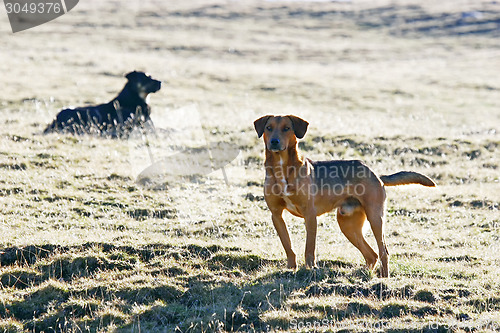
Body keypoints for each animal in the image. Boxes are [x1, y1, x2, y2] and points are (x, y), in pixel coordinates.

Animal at [254, 115, 434, 276]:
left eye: (287, 128)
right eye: (268, 128)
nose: (274, 142)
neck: (282, 167)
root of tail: (375, 174)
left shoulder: (310, 215)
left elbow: (309, 248)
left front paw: (310, 269)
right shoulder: (276, 215)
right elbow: (288, 245)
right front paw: (291, 269)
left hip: (375, 218)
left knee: (383, 252)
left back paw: (384, 278)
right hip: (348, 225)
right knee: (372, 255)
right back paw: (364, 274)